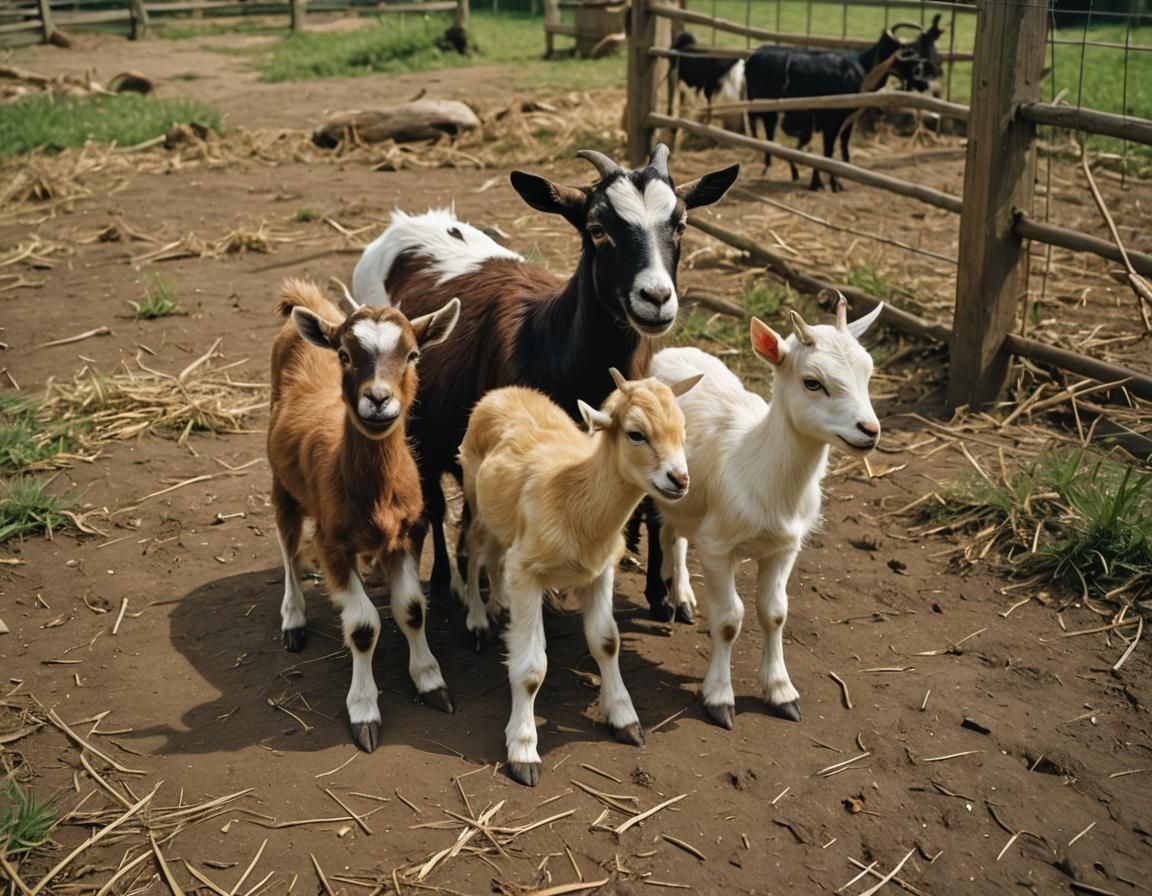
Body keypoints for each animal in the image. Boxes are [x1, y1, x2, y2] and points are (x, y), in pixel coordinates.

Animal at [267, 278, 460, 751]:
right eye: (344, 355)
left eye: (413, 354)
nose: (378, 399)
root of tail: (308, 304)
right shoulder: (331, 544)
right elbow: (362, 626)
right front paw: (364, 710)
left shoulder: (409, 533)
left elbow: (411, 608)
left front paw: (430, 681)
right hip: (282, 481)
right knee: (286, 542)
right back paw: (293, 619)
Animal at [351, 146, 739, 630]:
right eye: (597, 229)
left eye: (681, 224)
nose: (656, 299)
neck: (547, 339)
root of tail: (405, 225)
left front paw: (662, 595)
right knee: (435, 502)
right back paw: (444, 581)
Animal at [458, 369, 701, 786]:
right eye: (636, 433)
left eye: (683, 431)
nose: (679, 479)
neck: (573, 494)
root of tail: (504, 392)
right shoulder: (528, 572)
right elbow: (531, 667)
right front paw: (523, 749)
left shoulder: (600, 572)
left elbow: (607, 642)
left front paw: (624, 718)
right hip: (475, 493)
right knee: (474, 550)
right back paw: (477, 618)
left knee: (496, 556)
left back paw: (499, 604)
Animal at [645, 298, 882, 728]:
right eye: (812, 382)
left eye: (868, 373)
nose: (869, 430)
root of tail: (671, 351)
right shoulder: (718, 547)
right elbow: (728, 620)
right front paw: (719, 698)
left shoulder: (785, 548)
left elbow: (774, 614)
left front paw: (781, 691)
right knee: (665, 530)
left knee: (677, 534)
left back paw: (682, 594)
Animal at [745, 15, 945, 191]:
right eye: (908, 54)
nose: (925, 82)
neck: (863, 68)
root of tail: (754, 57)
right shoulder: (831, 122)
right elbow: (828, 152)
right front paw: (827, 184)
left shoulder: (847, 121)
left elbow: (842, 148)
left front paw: (836, 179)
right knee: (766, 131)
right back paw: (773, 167)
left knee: (767, 133)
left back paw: (780, 169)